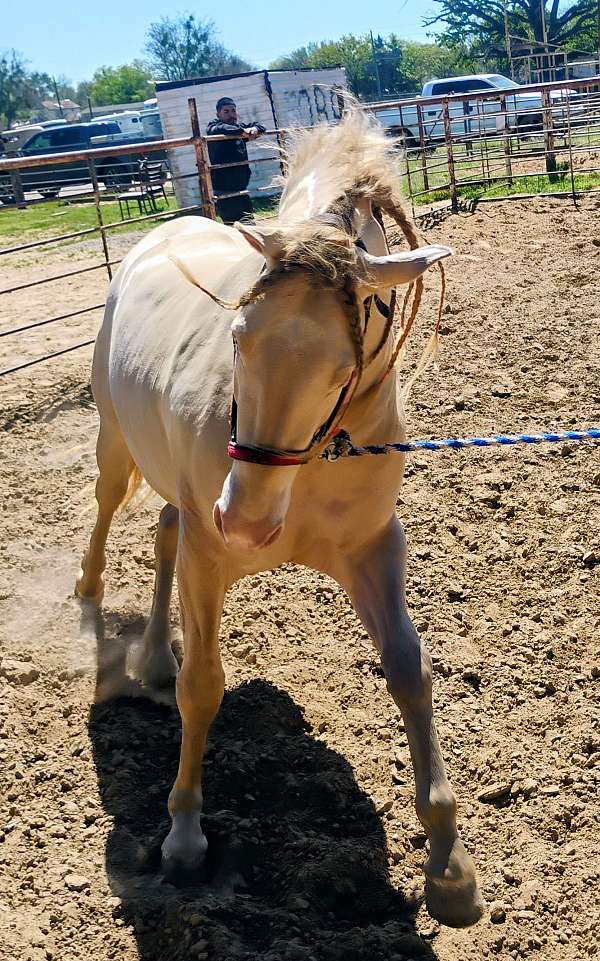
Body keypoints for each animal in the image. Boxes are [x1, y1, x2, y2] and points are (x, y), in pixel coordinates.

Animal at [76, 110, 484, 928]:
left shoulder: (373, 548)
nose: (247, 521)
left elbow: (409, 670)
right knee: (106, 525)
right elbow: (204, 684)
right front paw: (184, 836)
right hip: (116, 445)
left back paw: (152, 657)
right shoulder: (212, 555)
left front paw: (449, 866)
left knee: (163, 537)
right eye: (238, 336)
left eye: (348, 359)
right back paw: (92, 619)